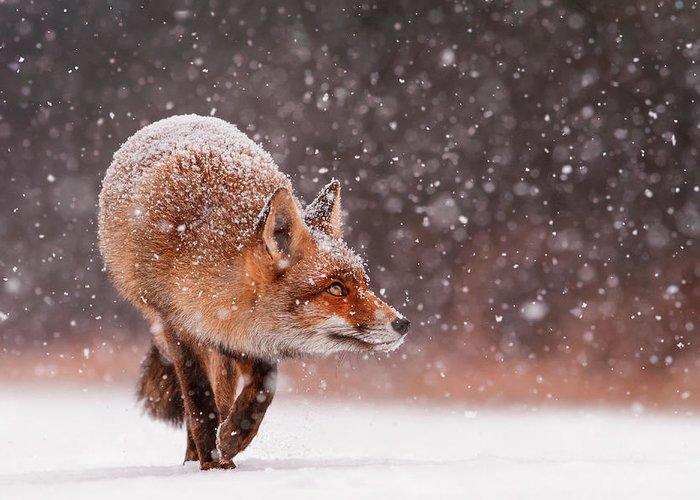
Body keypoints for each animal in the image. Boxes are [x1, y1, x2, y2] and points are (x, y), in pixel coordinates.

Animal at [95, 115, 408, 470]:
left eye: (364, 284)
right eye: (336, 288)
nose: (402, 323)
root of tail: (179, 118)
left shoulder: (249, 340)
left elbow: (262, 390)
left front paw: (234, 437)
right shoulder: (179, 329)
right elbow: (200, 405)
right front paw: (211, 462)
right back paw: (195, 458)